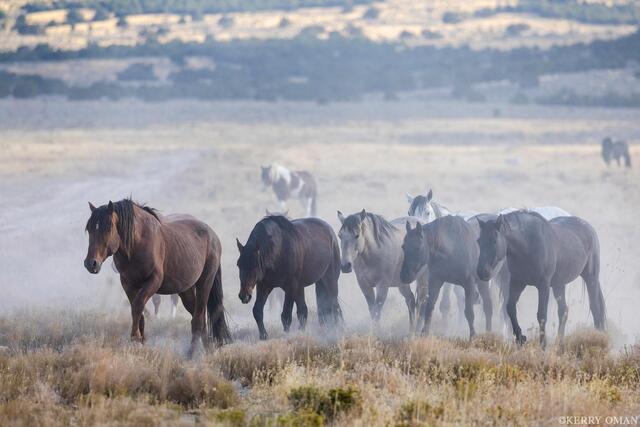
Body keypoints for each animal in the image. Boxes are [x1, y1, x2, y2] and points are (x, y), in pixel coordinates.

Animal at [84, 199, 231, 355]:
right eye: (90, 229)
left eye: (108, 228)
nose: (91, 263)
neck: (137, 244)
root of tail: (213, 236)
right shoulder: (128, 283)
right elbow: (138, 310)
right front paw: (141, 340)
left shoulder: (154, 281)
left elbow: (138, 305)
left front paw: (135, 338)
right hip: (186, 290)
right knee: (199, 318)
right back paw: (208, 351)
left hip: (205, 282)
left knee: (198, 319)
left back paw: (190, 355)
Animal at [476, 211, 606, 347]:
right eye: (478, 241)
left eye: (494, 240)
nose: (481, 271)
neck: (528, 244)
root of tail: (589, 228)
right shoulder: (517, 283)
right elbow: (510, 308)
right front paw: (520, 338)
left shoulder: (543, 286)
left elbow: (541, 315)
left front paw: (542, 345)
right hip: (559, 284)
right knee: (563, 311)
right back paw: (559, 344)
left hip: (591, 278)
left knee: (596, 309)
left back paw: (600, 338)